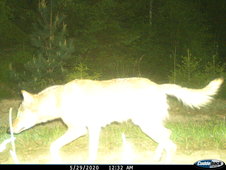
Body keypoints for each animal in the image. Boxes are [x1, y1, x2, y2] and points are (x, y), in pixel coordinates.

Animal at [10, 77, 222, 163]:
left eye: (19, 113)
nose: (8, 129)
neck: (59, 99)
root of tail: (158, 85)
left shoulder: (80, 130)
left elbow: (54, 145)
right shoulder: (92, 129)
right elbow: (90, 150)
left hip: (145, 125)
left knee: (171, 143)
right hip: (147, 125)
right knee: (167, 136)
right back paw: (155, 157)